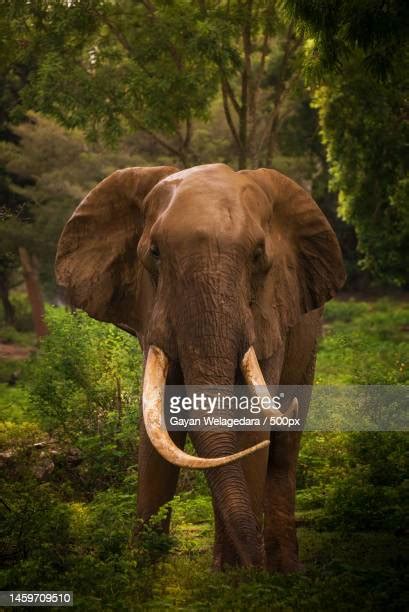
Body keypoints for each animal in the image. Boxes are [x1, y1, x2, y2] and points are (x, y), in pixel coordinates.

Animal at [55, 164, 344, 572]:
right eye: (154, 253)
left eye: (258, 255)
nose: (252, 565)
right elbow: (157, 423)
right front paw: (140, 568)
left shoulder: (269, 315)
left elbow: (252, 427)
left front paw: (239, 575)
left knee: (284, 451)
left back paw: (284, 568)